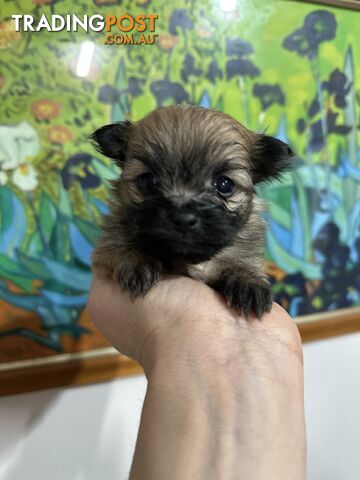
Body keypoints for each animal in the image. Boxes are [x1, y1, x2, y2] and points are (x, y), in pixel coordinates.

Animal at [90, 104, 292, 318]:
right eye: (146, 181)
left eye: (225, 184)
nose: (184, 219)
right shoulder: (104, 253)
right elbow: (118, 247)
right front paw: (136, 261)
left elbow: (242, 262)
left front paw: (248, 281)